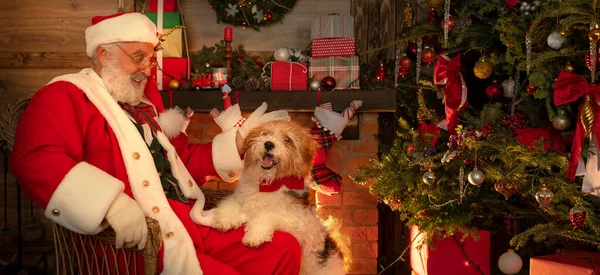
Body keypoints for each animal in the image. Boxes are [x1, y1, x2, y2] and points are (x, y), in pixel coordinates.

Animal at [197, 121, 346, 275]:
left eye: (288, 139)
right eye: (265, 133)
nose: (268, 144)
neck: (269, 183)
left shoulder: (299, 221)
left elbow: (269, 215)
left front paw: (255, 235)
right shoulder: (241, 199)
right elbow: (231, 205)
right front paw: (226, 219)